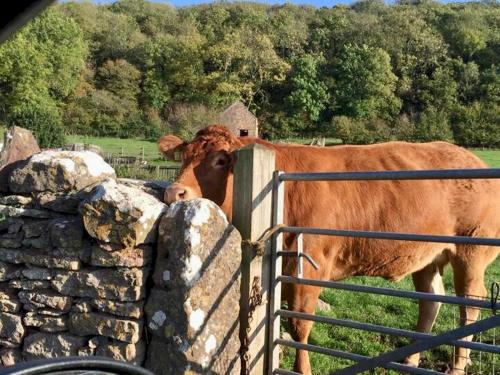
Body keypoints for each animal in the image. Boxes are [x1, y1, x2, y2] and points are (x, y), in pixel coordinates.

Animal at [157, 125, 500, 374]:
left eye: (220, 160)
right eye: (184, 156)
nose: (174, 192)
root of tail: (472, 159)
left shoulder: (310, 267)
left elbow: (299, 325)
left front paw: (302, 369)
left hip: (471, 253)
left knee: (469, 305)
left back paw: (457, 366)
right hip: (426, 255)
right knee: (431, 299)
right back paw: (410, 360)